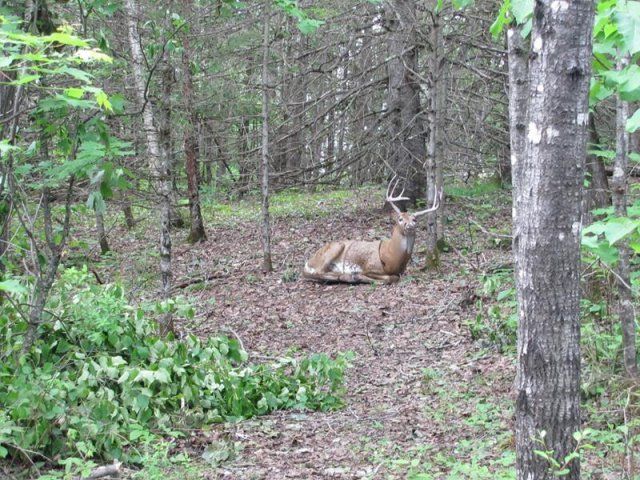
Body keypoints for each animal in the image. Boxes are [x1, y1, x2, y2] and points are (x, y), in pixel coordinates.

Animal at [302, 178, 442, 284]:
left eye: (415, 219)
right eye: (400, 219)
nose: (410, 226)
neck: (392, 257)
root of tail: (308, 262)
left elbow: (395, 276)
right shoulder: (370, 266)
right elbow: (390, 278)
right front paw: (357, 276)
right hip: (336, 247)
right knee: (318, 272)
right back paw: (346, 276)